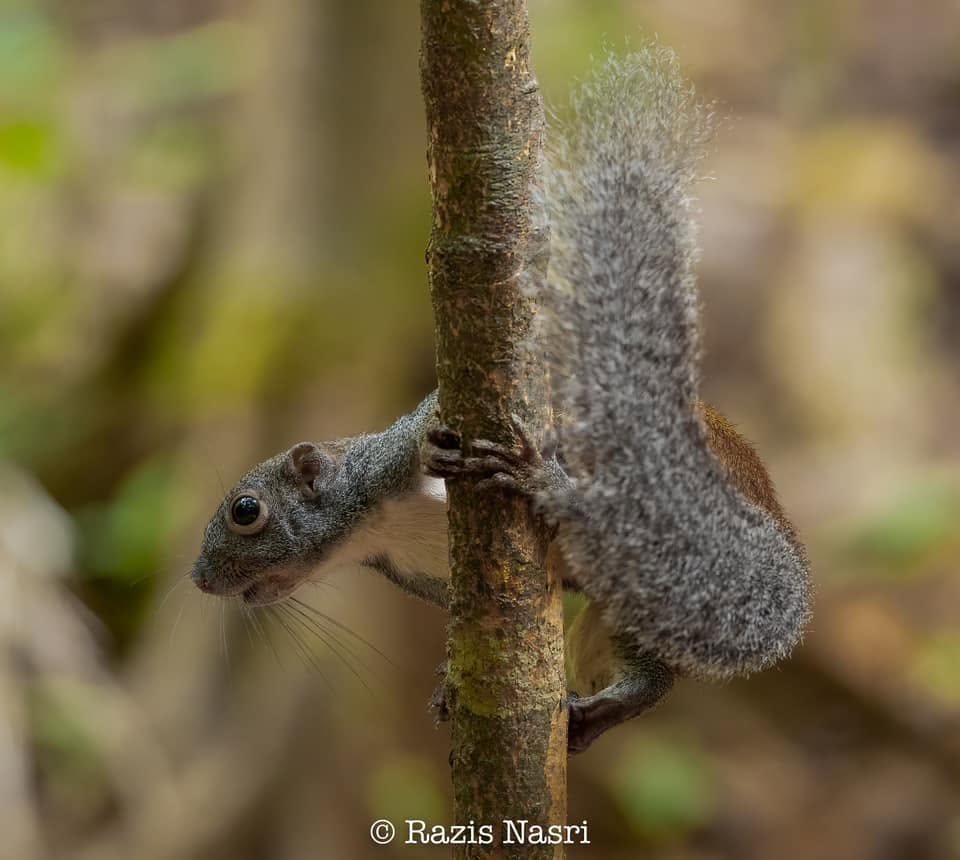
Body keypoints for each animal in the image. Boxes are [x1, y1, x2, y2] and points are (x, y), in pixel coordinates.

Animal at [191, 47, 811, 753]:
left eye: (246, 511)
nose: (200, 579)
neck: (375, 525)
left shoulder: (385, 461)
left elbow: (420, 434)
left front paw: (434, 450)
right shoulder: (417, 574)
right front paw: (446, 683)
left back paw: (542, 480)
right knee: (654, 677)